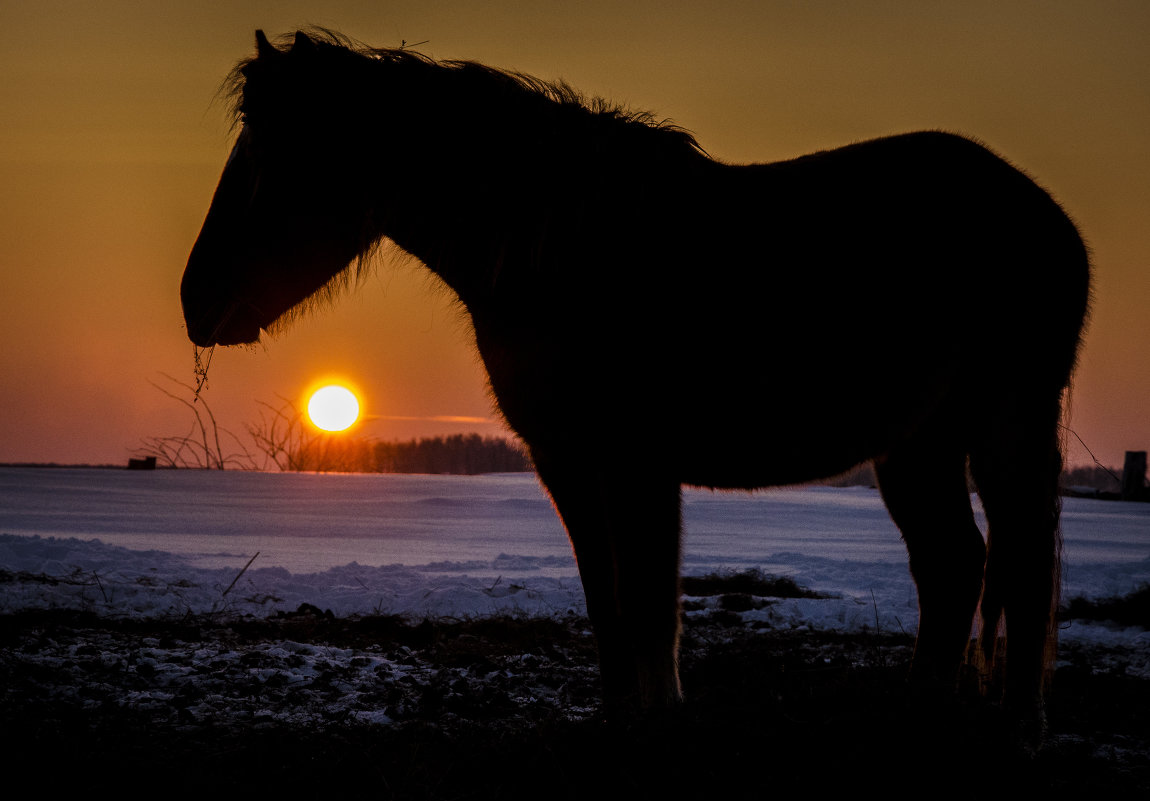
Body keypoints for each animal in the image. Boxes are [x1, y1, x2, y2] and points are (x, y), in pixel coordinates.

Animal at [179, 29, 1085, 744]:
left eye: (268, 160)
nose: (195, 300)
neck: (567, 254)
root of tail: (1046, 216)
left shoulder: (635, 462)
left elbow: (647, 598)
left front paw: (658, 718)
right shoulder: (569, 461)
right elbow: (608, 598)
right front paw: (624, 714)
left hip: (1006, 430)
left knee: (1021, 562)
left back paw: (1020, 725)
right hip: (918, 447)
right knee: (956, 565)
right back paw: (923, 713)